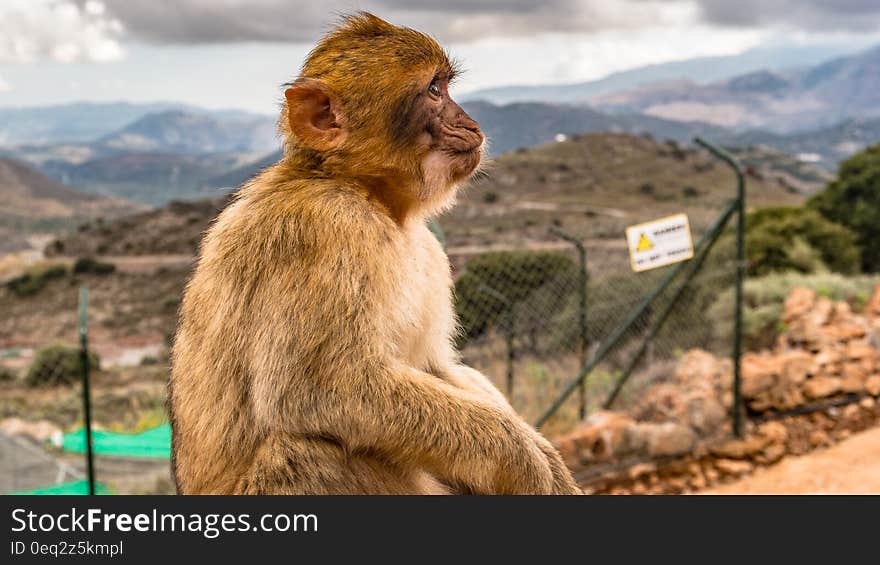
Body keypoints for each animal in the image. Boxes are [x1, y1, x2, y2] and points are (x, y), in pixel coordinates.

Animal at [168, 11, 580, 492]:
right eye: (434, 90)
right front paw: (524, 462)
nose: (470, 122)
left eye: (446, 86)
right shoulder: (326, 229)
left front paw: (547, 457)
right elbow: (322, 390)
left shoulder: (427, 249)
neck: (367, 193)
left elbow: (434, 367)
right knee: (307, 449)